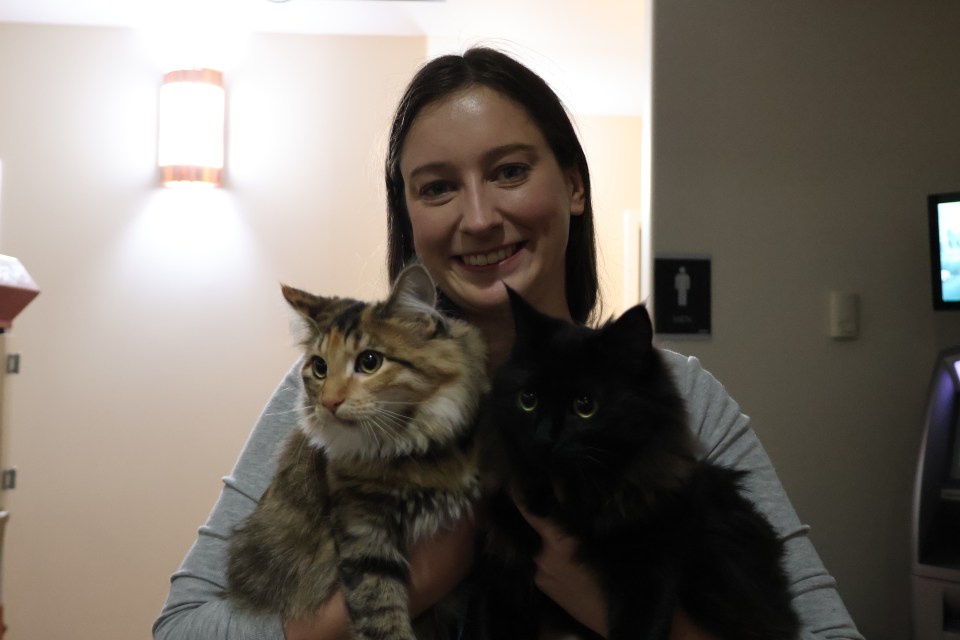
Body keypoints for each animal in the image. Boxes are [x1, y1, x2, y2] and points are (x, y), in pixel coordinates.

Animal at [226, 264, 489, 640]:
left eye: (369, 362)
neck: (414, 449)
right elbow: (380, 614)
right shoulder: (363, 529)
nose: (329, 403)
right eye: (319, 368)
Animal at [475, 288, 800, 640]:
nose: (545, 438)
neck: (573, 498)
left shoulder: (649, 568)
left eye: (585, 406)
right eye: (528, 400)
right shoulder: (506, 573)